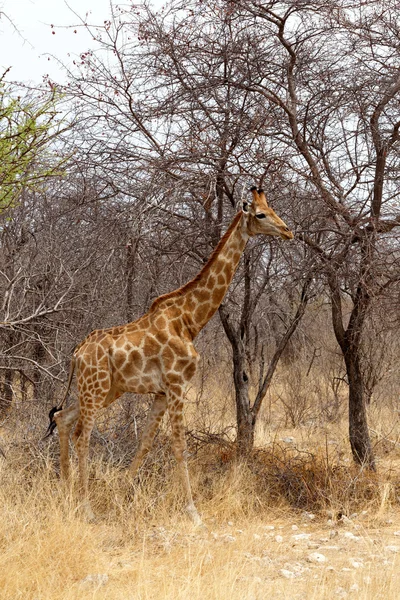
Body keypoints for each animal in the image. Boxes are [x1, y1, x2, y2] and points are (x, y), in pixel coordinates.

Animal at [47, 185, 292, 524]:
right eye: (260, 214)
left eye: (272, 210)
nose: (288, 231)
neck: (189, 320)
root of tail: (77, 353)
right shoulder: (177, 385)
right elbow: (179, 445)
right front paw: (193, 512)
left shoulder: (161, 392)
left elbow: (146, 443)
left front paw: (121, 495)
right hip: (95, 388)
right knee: (82, 433)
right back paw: (84, 507)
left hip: (106, 389)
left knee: (62, 418)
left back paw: (67, 492)